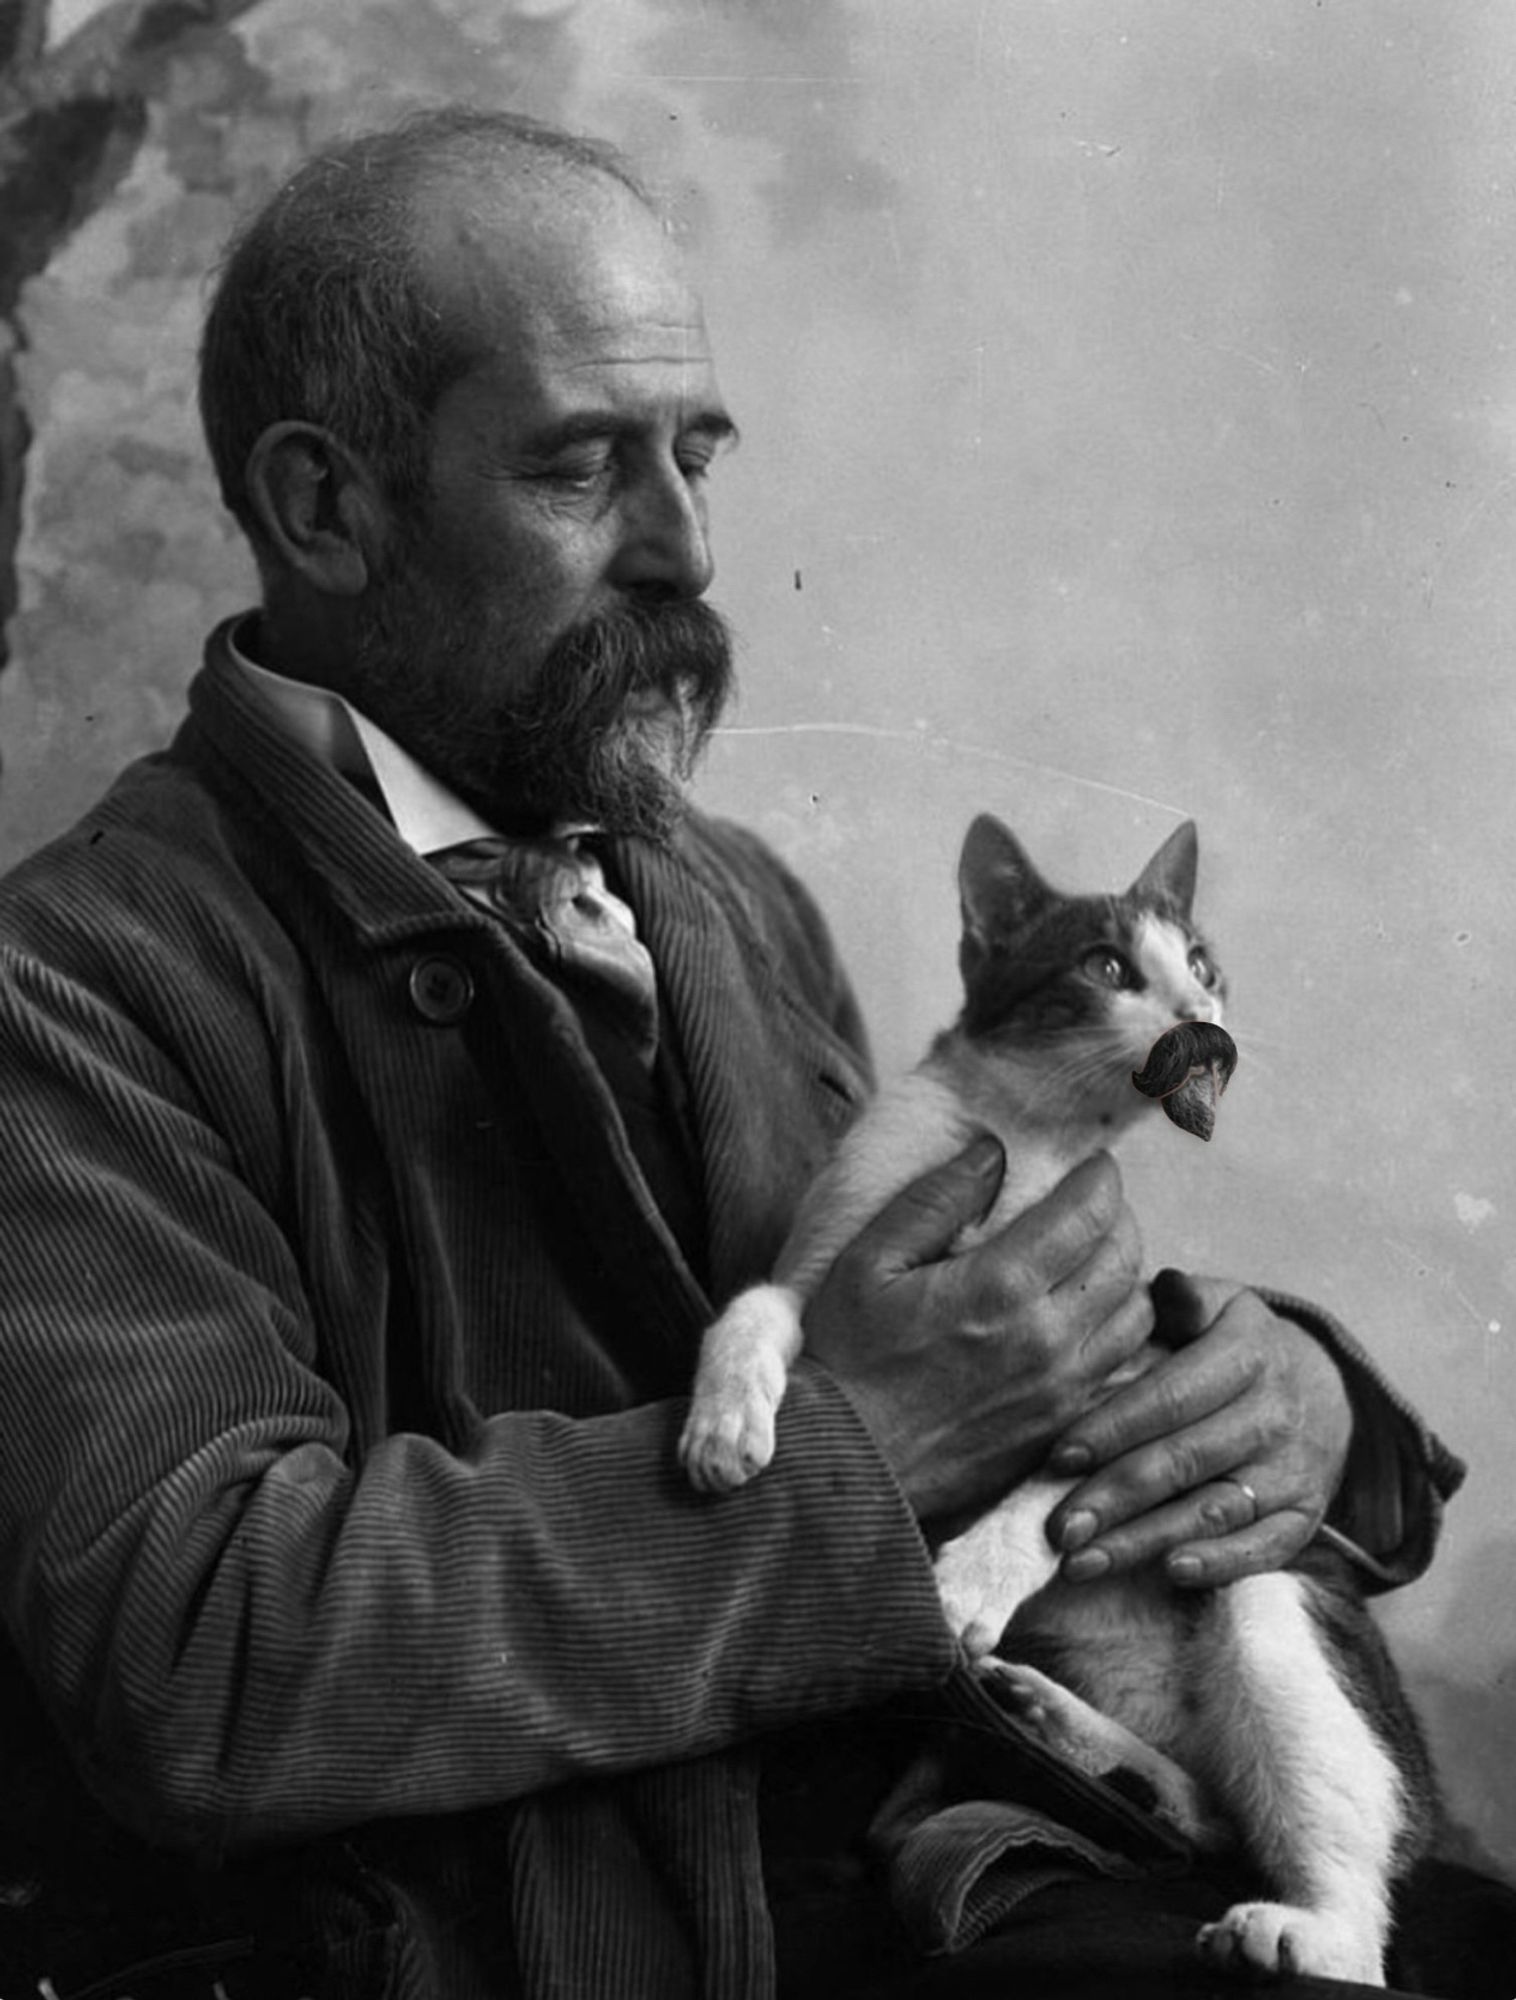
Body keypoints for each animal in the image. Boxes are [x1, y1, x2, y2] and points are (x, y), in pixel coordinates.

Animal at [684, 808, 1440, 1984]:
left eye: (1201, 966)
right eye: (1106, 968)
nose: (1202, 1022)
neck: (1030, 1133)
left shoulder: (1128, 1367)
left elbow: (1057, 1492)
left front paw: (963, 1580)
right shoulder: (826, 1269)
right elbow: (756, 1306)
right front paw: (723, 1422)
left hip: (1273, 1593)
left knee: (1340, 1921)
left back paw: (1300, 1924)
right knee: (1210, 1816)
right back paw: (1084, 1737)